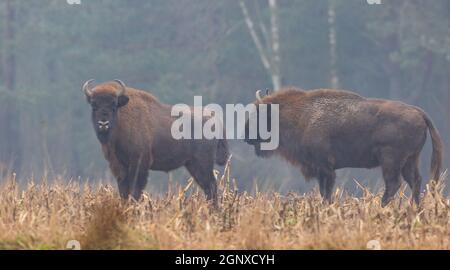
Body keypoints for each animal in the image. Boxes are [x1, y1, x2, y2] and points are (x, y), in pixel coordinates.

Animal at [81, 79, 229, 204]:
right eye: (94, 105)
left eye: (113, 105)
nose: (103, 123)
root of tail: (214, 118)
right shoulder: (118, 165)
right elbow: (124, 191)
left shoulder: (139, 163)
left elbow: (135, 190)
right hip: (192, 165)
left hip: (202, 164)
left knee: (211, 186)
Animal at [244, 87, 442, 206]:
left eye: (258, 115)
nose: (246, 135)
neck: (302, 117)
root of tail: (418, 112)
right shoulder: (322, 170)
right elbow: (324, 192)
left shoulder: (325, 168)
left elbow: (327, 192)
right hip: (410, 160)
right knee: (415, 181)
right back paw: (415, 208)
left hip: (391, 161)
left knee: (394, 184)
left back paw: (381, 207)